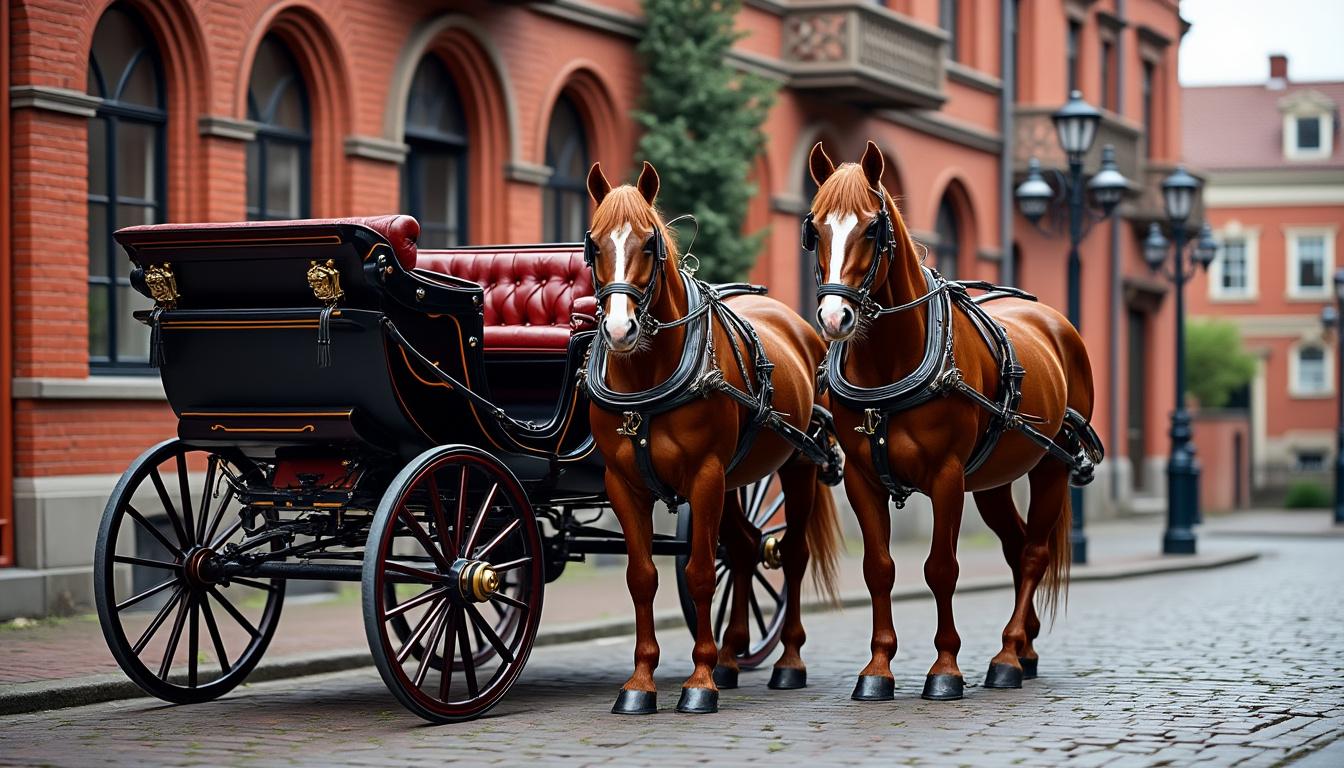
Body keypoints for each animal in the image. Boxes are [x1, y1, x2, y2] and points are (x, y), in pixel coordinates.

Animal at [584, 160, 840, 715]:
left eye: (650, 242)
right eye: (593, 244)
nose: (619, 330)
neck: (648, 378)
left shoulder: (703, 476)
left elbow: (700, 572)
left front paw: (698, 682)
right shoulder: (623, 484)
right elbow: (642, 577)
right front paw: (640, 683)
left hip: (796, 465)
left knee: (790, 556)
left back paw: (786, 663)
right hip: (733, 480)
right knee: (742, 550)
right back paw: (730, 656)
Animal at [803, 141, 1103, 701]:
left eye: (872, 228)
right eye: (814, 228)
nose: (835, 319)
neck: (891, 362)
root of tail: (1056, 322)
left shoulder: (945, 477)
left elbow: (941, 568)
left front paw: (945, 668)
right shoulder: (861, 479)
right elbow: (879, 569)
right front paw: (878, 668)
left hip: (1050, 466)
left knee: (1034, 553)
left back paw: (1007, 656)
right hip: (992, 481)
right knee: (1015, 547)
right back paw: (1024, 649)